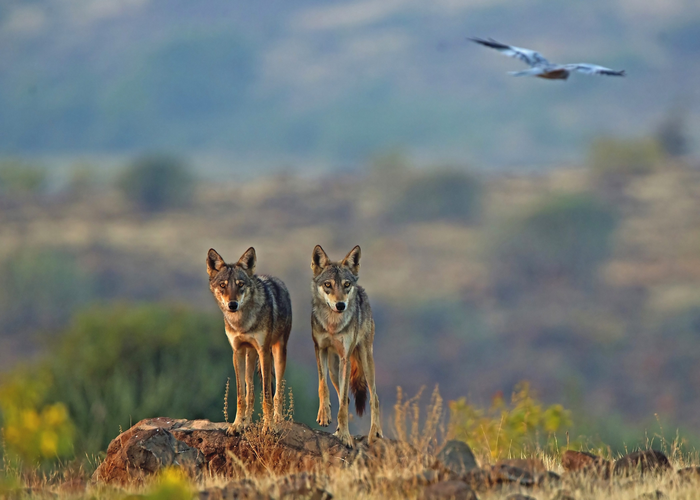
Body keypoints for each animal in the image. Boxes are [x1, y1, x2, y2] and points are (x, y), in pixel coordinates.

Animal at [205, 247, 292, 434]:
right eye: (223, 285)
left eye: (240, 285)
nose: (232, 305)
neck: (242, 323)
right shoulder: (237, 352)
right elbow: (241, 395)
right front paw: (237, 424)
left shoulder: (264, 351)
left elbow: (267, 395)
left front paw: (269, 427)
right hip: (249, 356)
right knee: (250, 392)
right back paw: (246, 423)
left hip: (278, 354)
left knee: (277, 392)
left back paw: (278, 420)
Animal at [308, 244, 382, 448]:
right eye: (328, 285)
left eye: (346, 285)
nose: (340, 305)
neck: (333, 324)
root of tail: (362, 290)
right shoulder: (320, 350)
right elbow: (322, 386)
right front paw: (324, 415)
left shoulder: (345, 358)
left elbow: (342, 403)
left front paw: (346, 437)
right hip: (334, 369)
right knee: (347, 398)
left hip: (365, 362)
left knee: (374, 398)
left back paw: (375, 434)